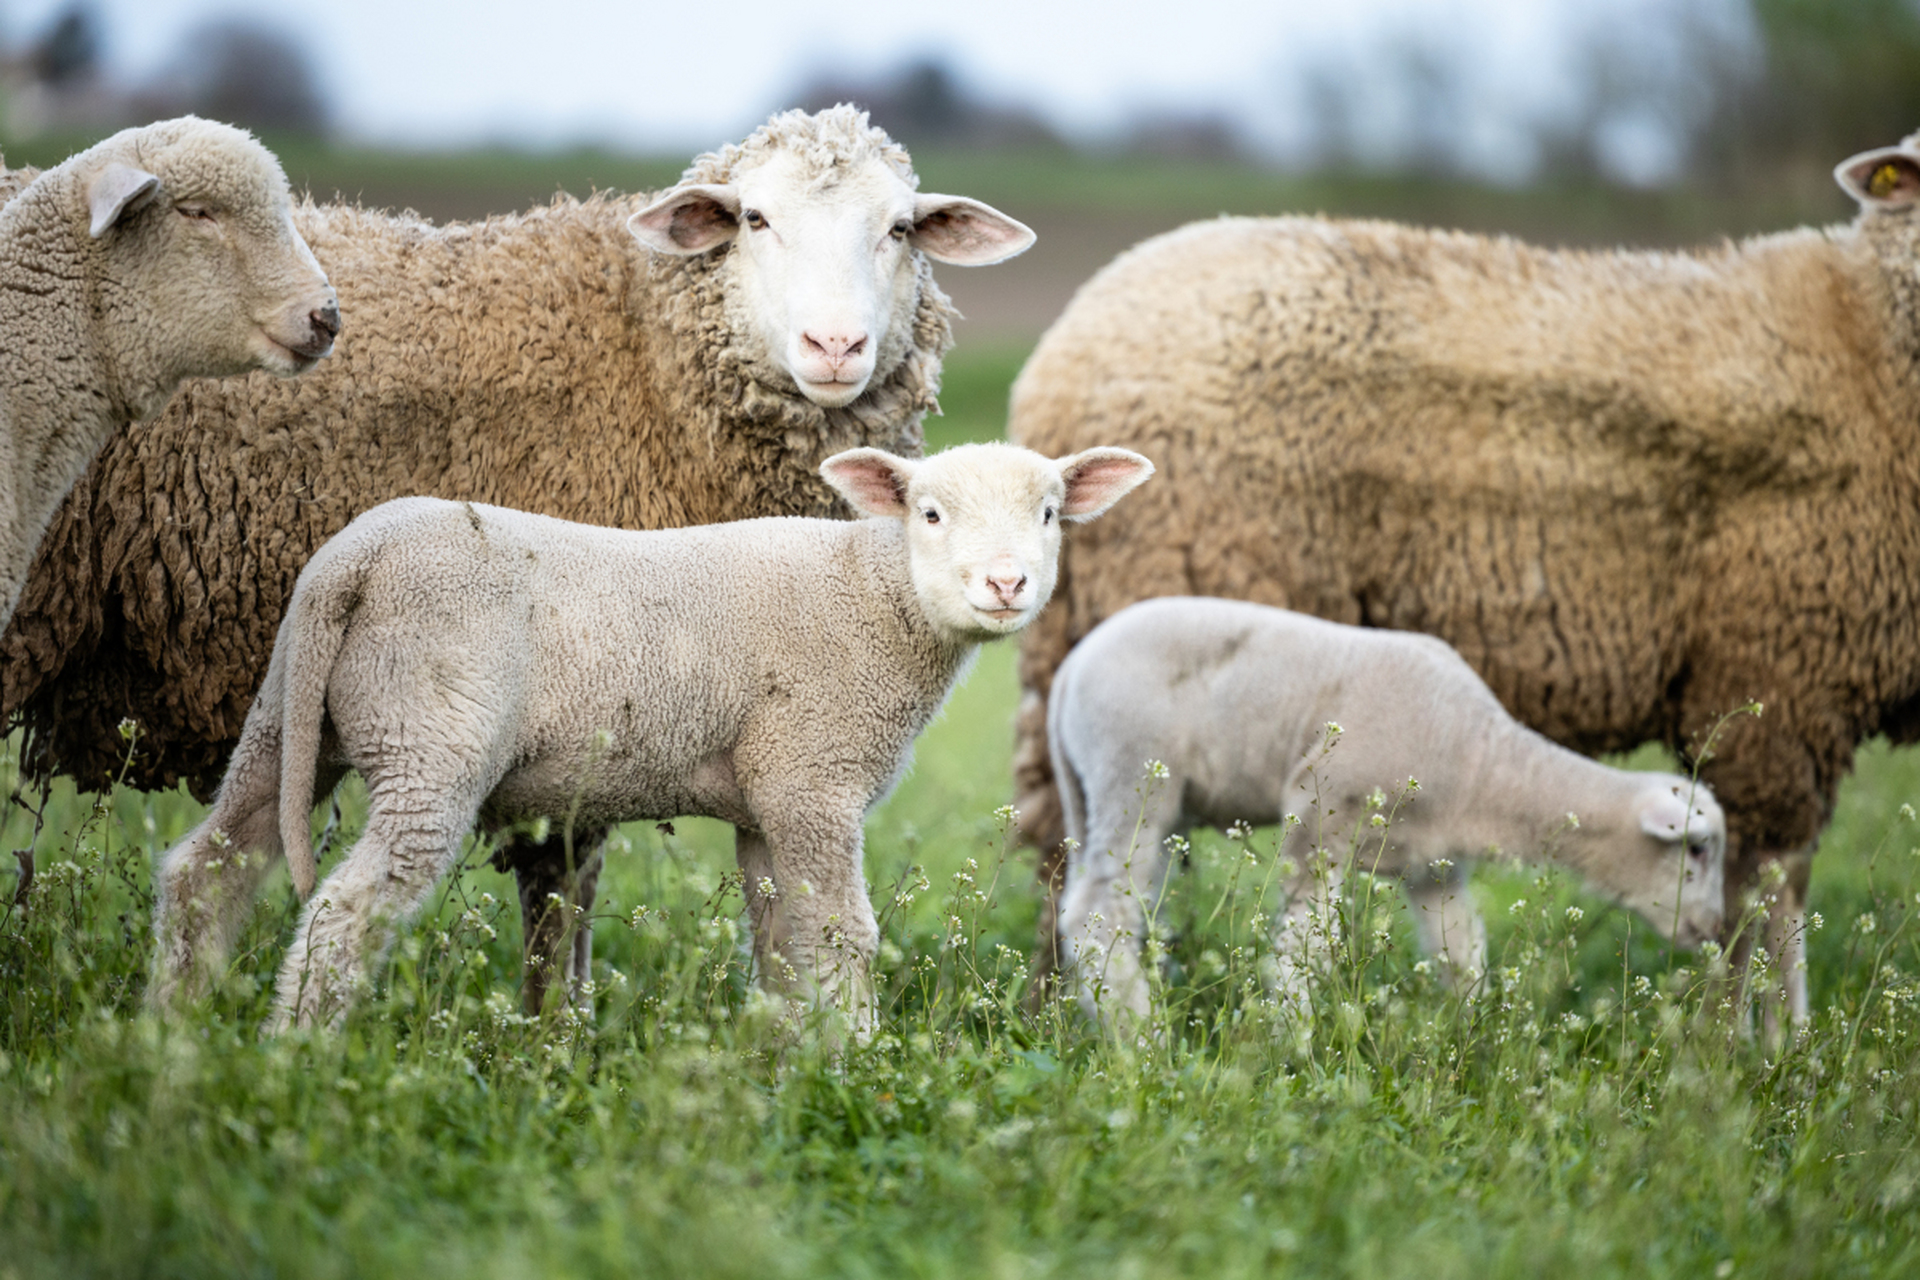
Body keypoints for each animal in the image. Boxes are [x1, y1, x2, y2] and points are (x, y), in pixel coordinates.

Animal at [149, 441, 1152, 1028]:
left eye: (1051, 514)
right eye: (930, 514)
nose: (1006, 584)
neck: (873, 594)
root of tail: (350, 562)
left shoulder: (768, 798)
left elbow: (781, 940)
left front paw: (788, 1055)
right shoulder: (813, 778)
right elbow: (842, 935)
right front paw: (854, 1061)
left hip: (289, 715)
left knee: (209, 866)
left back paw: (174, 1032)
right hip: (429, 738)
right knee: (342, 913)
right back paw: (297, 1053)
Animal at [1052, 594, 1728, 1028]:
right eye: (1696, 849)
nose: (1713, 930)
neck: (1486, 763)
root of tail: (1068, 673)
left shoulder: (1433, 863)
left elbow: (1462, 954)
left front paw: (1469, 1040)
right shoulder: (1320, 818)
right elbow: (1303, 953)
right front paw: (1291, 1043)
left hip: (1092, 793)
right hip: (1133, 774)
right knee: (1096, 914)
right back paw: (1142, 1037)